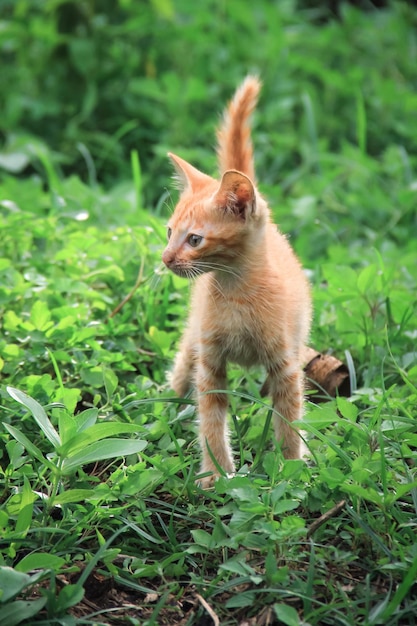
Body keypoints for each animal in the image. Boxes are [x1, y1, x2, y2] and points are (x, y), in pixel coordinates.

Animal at [161, 77, 310, 488]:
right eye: (169, 232)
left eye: (194, 239)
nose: (165, 258)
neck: (235, 293)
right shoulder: (211, 361)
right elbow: (211, 419)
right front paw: (216, 474)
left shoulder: (286, 364)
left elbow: (289, 421)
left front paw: (291, 470)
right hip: (194, 336)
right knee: (183, 364)